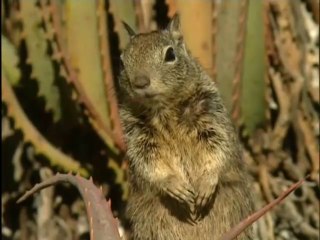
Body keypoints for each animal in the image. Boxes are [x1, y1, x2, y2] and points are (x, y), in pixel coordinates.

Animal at [119, 14, 254, 239]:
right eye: (121, 60)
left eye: (170, 54)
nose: (140, 82)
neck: (164, 110)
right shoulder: (138, 135)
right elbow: (148, 161)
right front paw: (173, 184)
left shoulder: (210, 116)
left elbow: (218, 149)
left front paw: (206, 183)